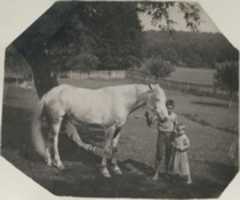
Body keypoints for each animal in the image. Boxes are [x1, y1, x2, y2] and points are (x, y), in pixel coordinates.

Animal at [31, 83, 168, 177]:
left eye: (166, 100)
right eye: (157, 99)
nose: (165, 118)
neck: (121, 100)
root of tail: (49, 94)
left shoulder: (119, 129)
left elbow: (115, 148)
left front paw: (116, 169)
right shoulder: (110, 128)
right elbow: (106, 149)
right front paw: (105, 171)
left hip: (54, 120)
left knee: (48, 137)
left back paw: (49, 161)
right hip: (57, 120)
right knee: (54, 140)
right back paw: (59, 164)